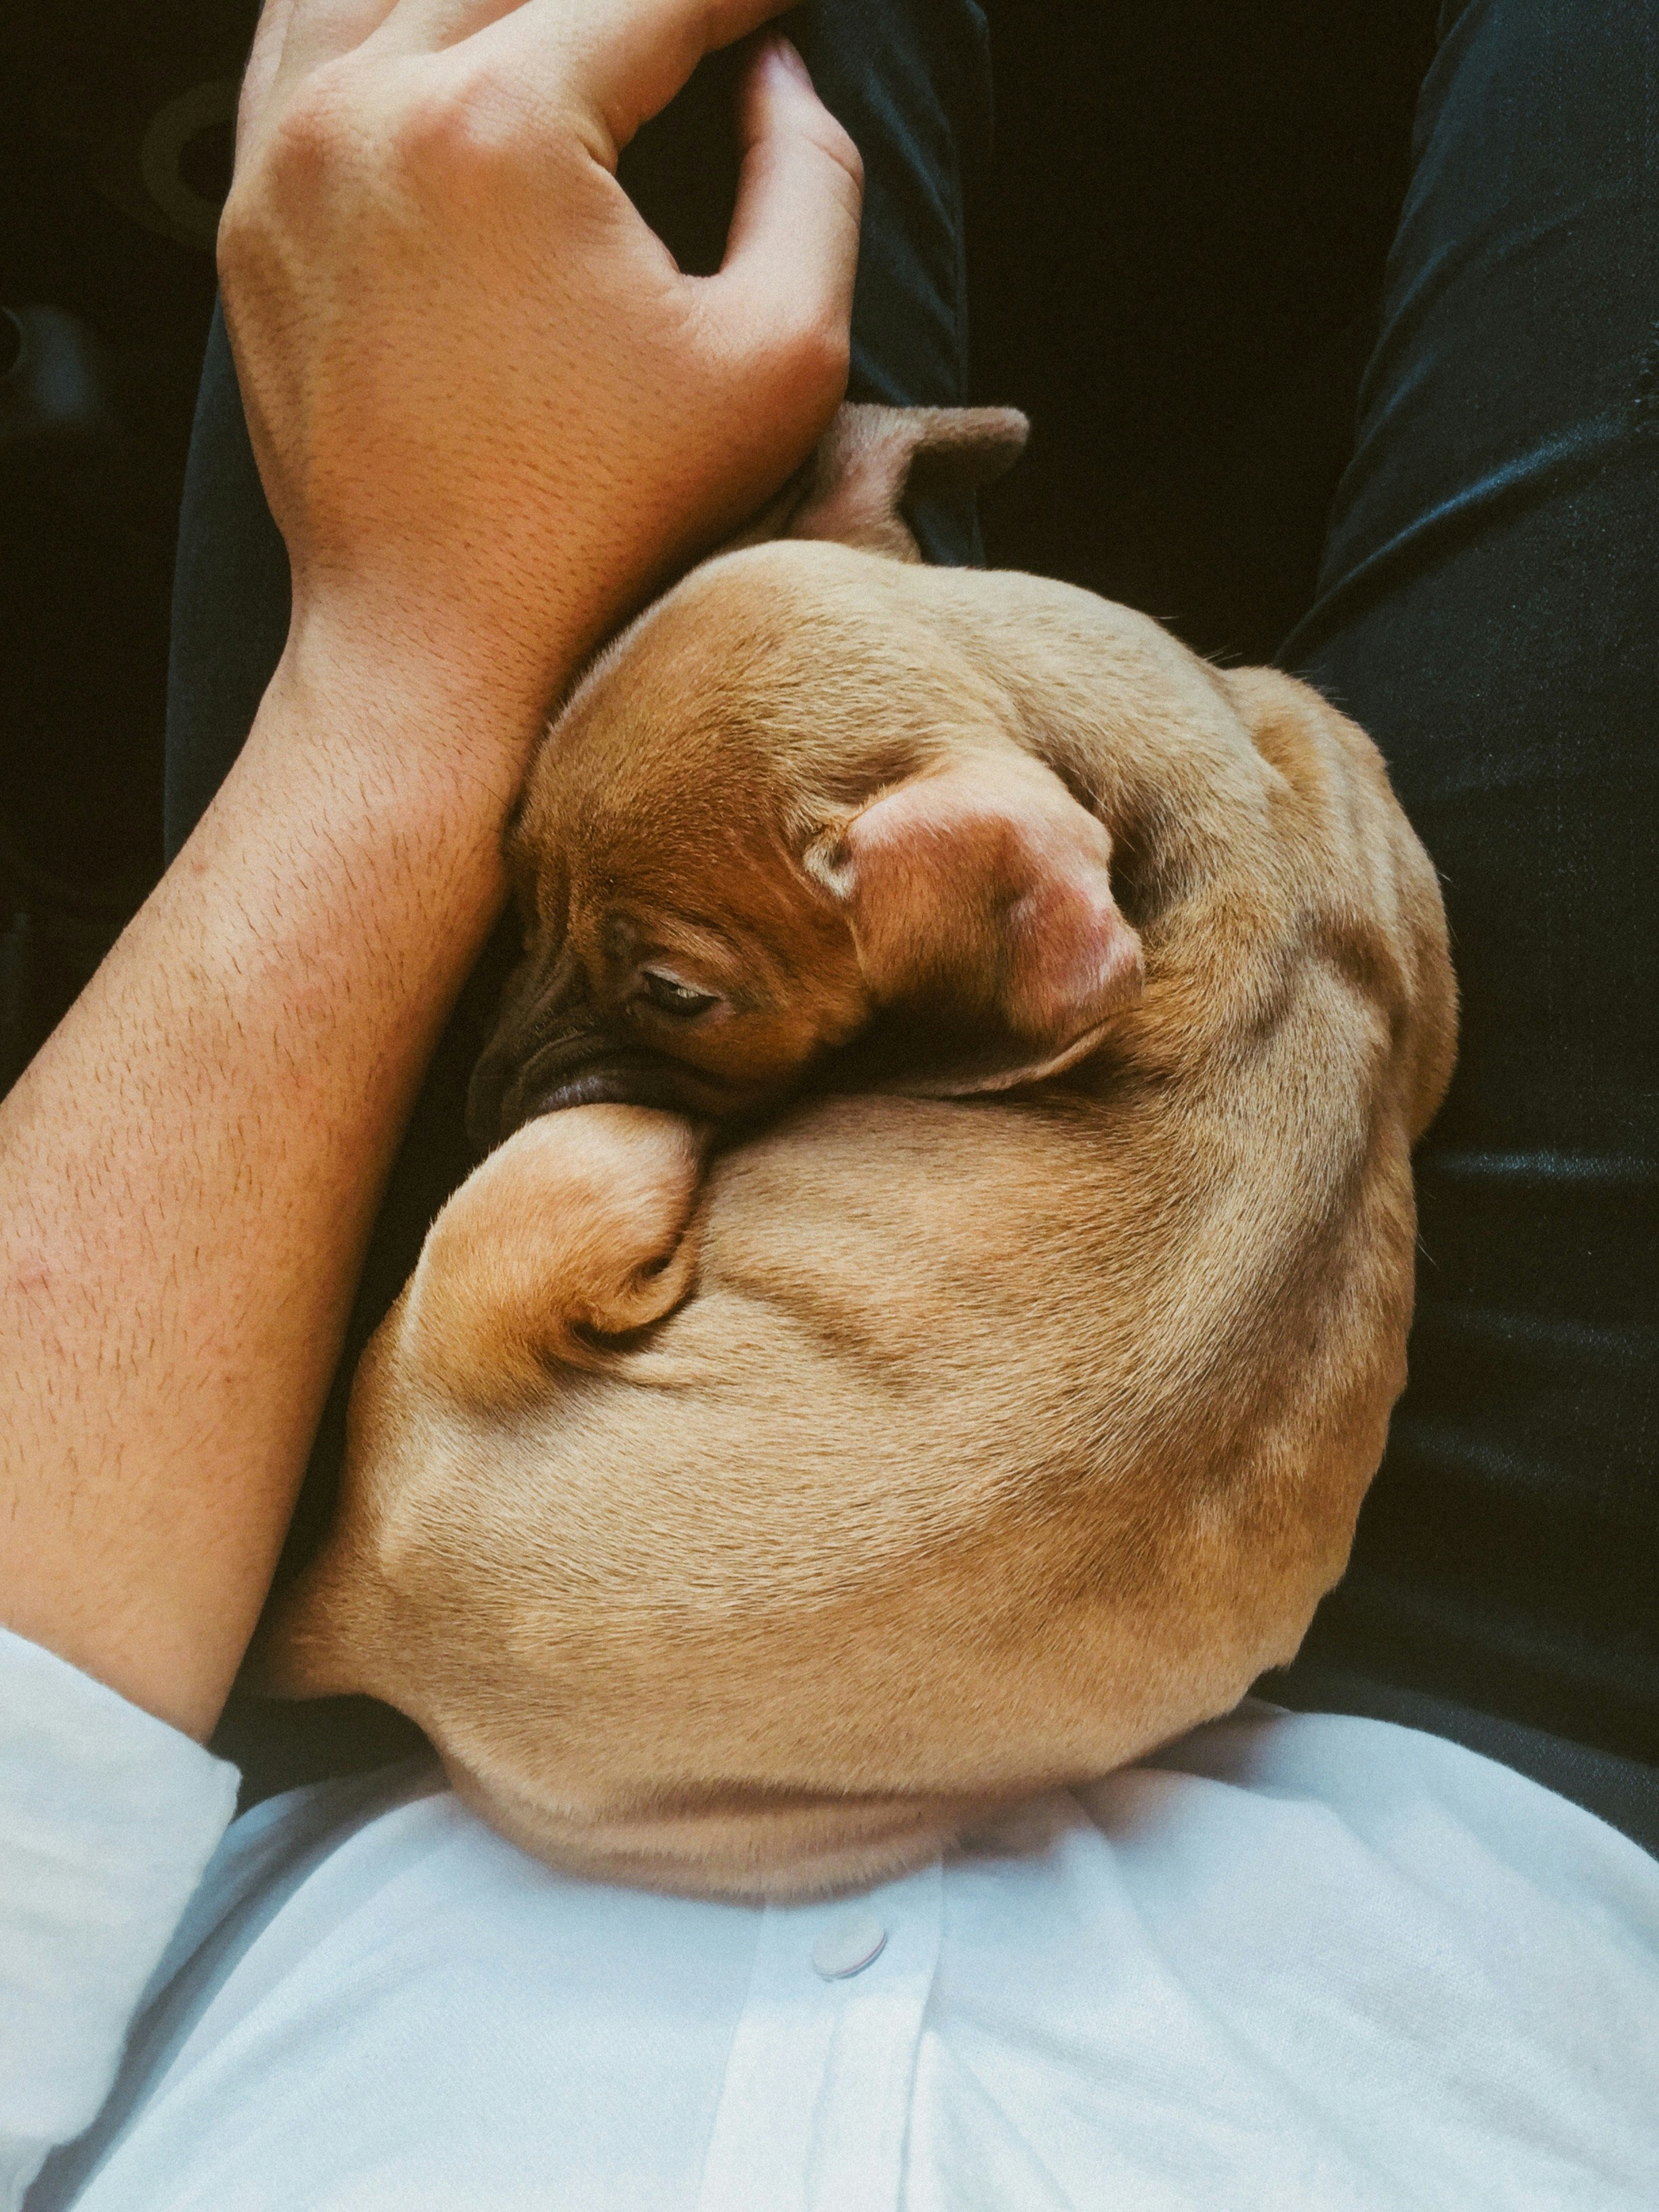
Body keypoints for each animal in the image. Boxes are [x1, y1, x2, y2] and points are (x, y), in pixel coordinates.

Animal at [253, 411, 1460, 1902]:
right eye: (514, 891)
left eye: (677, 991)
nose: (482, 1112)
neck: (1236, 832)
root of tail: (378, 1596)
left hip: (598, 1158)